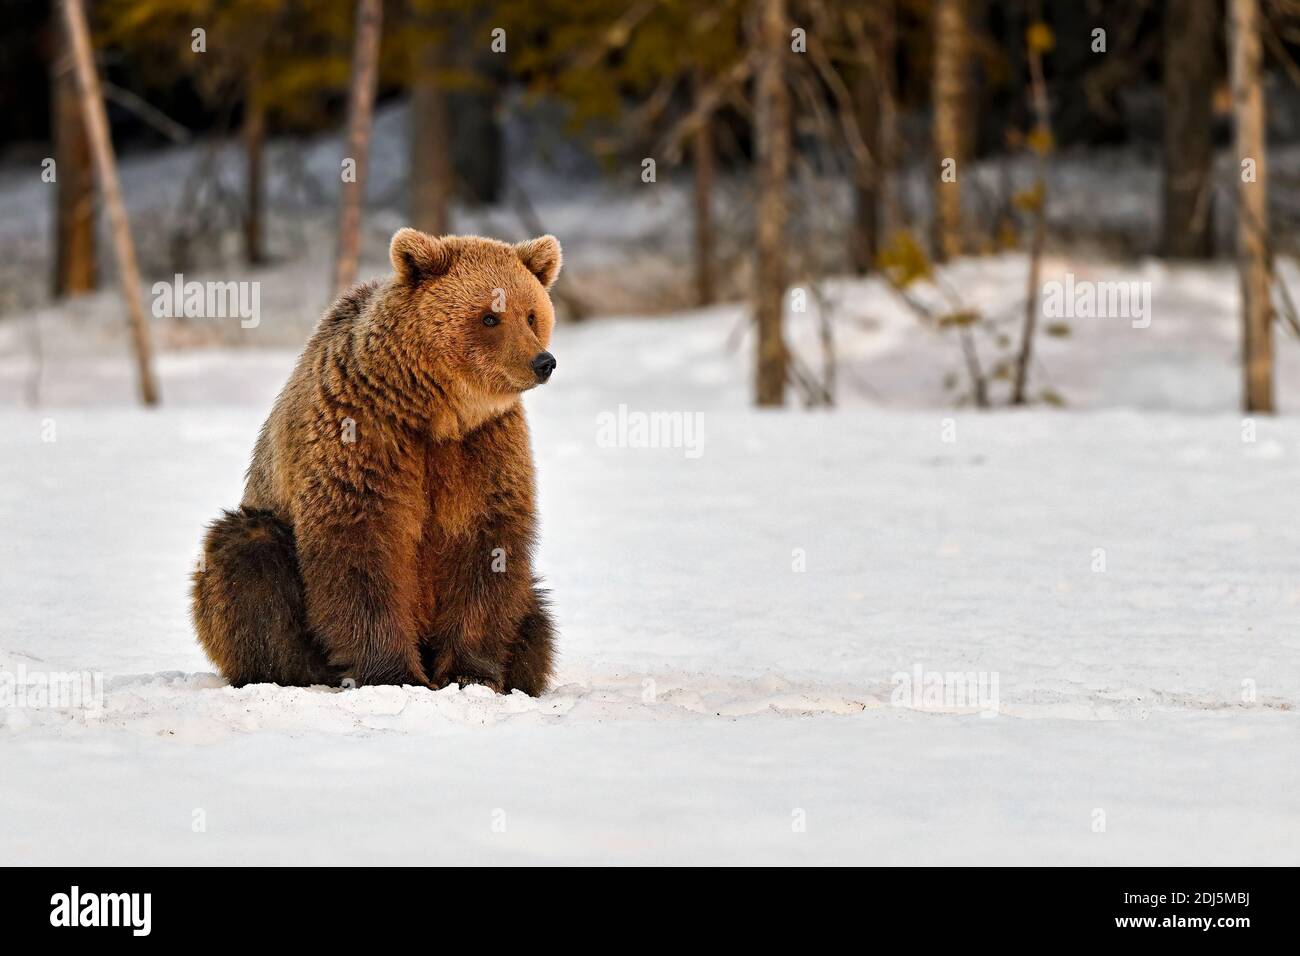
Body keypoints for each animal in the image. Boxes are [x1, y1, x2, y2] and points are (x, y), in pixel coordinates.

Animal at [191, 230, 559, 697]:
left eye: (531, 315)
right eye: (490, 317)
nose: (542, 362)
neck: (435, 411)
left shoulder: (483, 446)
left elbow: (487, 547)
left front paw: (470, 673)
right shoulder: (364, 433)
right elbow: (362, 548)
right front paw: (393, 674)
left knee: (537, 619)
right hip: (264, 531)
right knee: (247, 558)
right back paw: (284, 671)